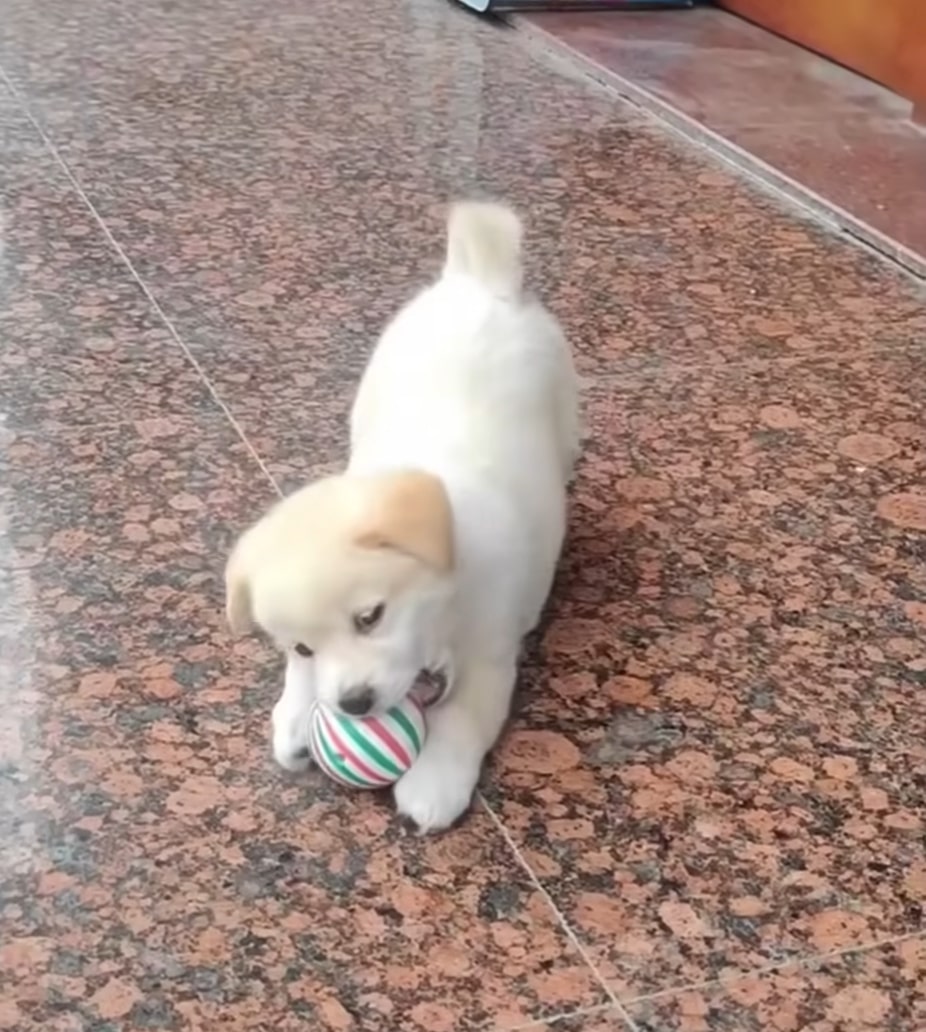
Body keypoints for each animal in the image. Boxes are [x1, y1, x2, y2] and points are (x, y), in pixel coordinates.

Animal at [224, 201, 578, 829]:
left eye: (370, 617)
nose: (353, 704)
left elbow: (462, 720)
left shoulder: (491, 656)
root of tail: (476, 281)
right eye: (304, 647)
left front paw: (433, 784)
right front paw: (294, 714)